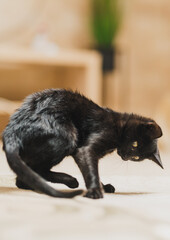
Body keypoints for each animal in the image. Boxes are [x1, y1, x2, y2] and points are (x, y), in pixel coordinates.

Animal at [1, 88, 163, 199]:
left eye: (136, 158)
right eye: (135, 144)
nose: (125, 156)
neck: (118, 124)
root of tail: (11, 130)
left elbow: (90, 168)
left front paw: (103, 187)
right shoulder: (86, 149)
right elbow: (92, 170)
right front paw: (95, 191)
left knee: (23, 176)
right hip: (67, 137)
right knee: (35, 171)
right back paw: (71, 181)